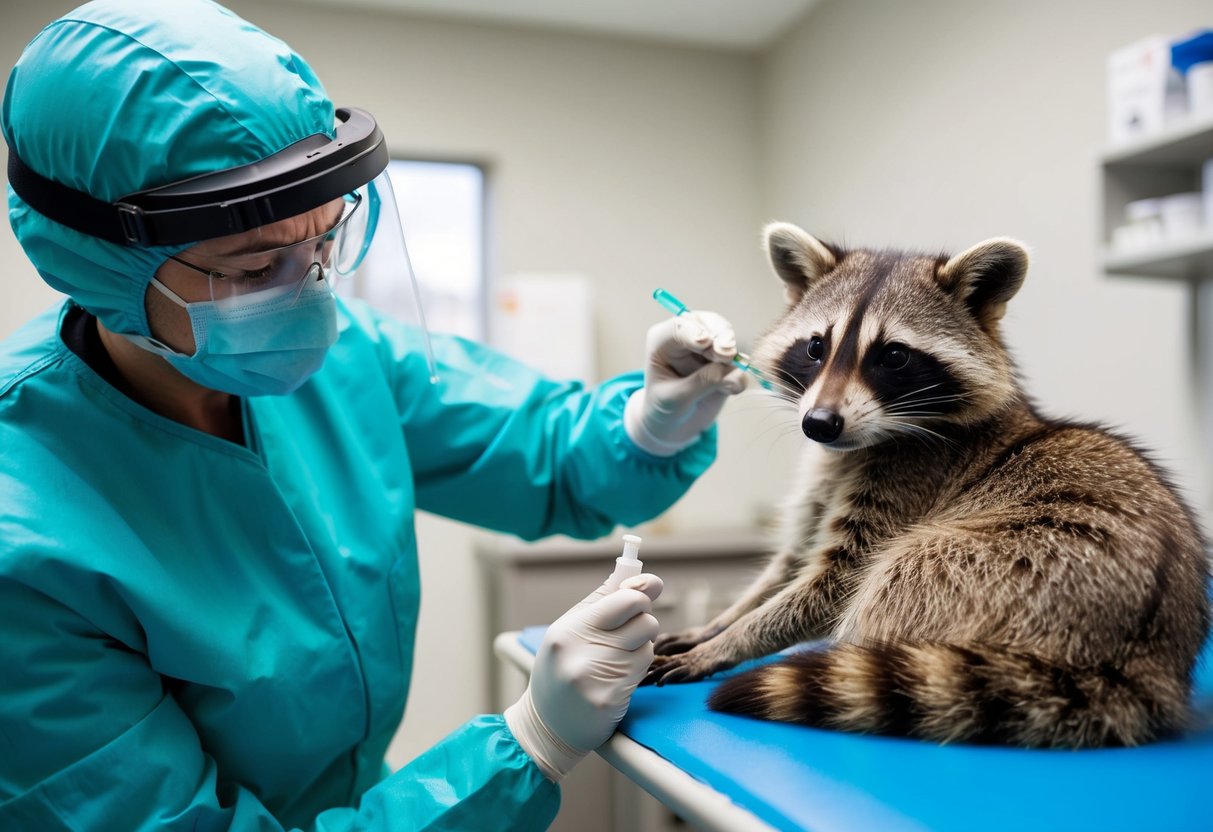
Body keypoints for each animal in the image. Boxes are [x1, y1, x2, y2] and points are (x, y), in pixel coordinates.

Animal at [644, 223, 1211, 748]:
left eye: (893, 356)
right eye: (815, 347)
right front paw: (718, 624)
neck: (866, 439)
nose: (819, 425)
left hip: (1019, 562)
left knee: (898, 574)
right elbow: (787, 566)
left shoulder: (912, 478)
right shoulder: (824, 478)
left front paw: (729, 642)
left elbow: (834, 583)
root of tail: (1142, 667)